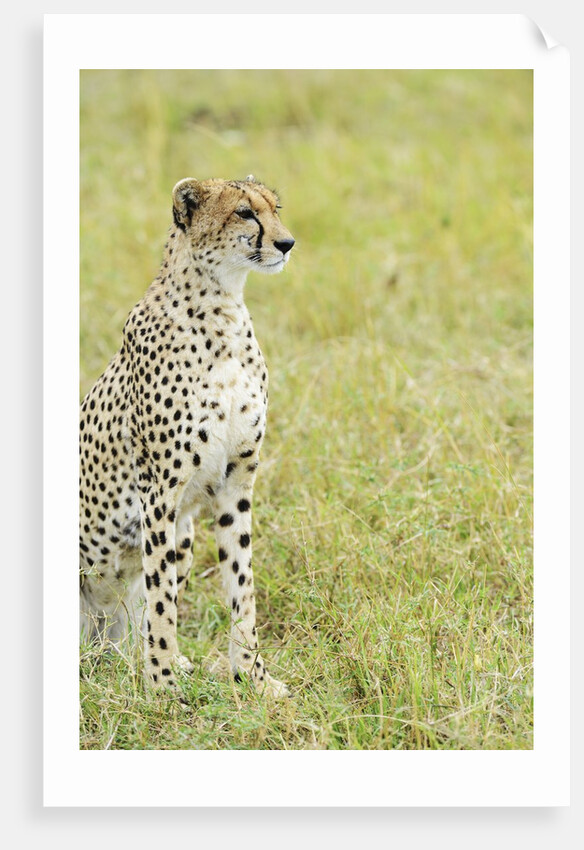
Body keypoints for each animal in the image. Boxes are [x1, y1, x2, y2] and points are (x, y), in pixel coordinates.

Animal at [79, 175, 294, 698]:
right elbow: (161, 599)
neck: (222, 308)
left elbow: (242, 584)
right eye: (244, 212)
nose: (287, 243)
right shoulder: (159, 491)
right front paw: (161, 685)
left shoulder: (237, 481)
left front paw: (253, 677)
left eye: (275, 209)